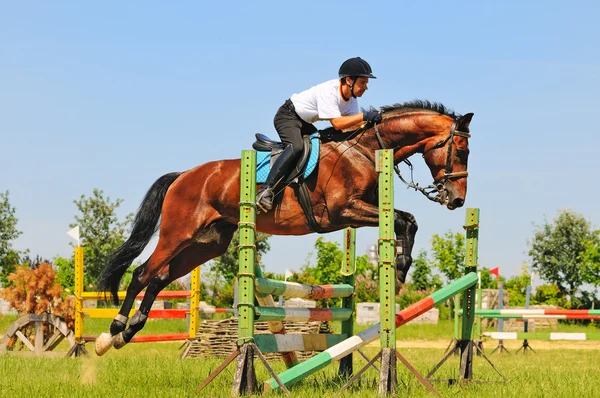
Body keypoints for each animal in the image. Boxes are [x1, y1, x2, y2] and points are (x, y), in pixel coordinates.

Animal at [94, 101, 474, 356]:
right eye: (460, 149)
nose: (457, 200)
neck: (364, 150)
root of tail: (184, 175)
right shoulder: (343, 211)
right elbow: (404, 219)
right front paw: (398, 269)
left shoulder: (353, 216)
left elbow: (406, 220)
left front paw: (399, 268)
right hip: (179, 233)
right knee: (142, 273)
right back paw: (112, 332)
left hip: (208, 243)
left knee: (159, 277)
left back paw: (127, 333)